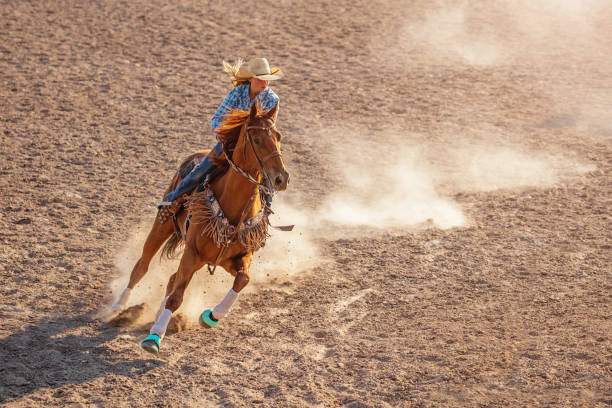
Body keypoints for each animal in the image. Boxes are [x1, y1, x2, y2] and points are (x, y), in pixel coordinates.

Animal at [109, 103, 286, 354]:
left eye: (278, 136)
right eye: (256, 139)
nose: (282, 178)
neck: (234, 209)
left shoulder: (235, 258)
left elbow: (243, 280)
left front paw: (211, 316)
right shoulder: (192, 253)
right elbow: (176, 297)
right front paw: (154, 338)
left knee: (172, 279)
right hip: (163, 226)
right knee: (142, 267)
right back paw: (118, 307)